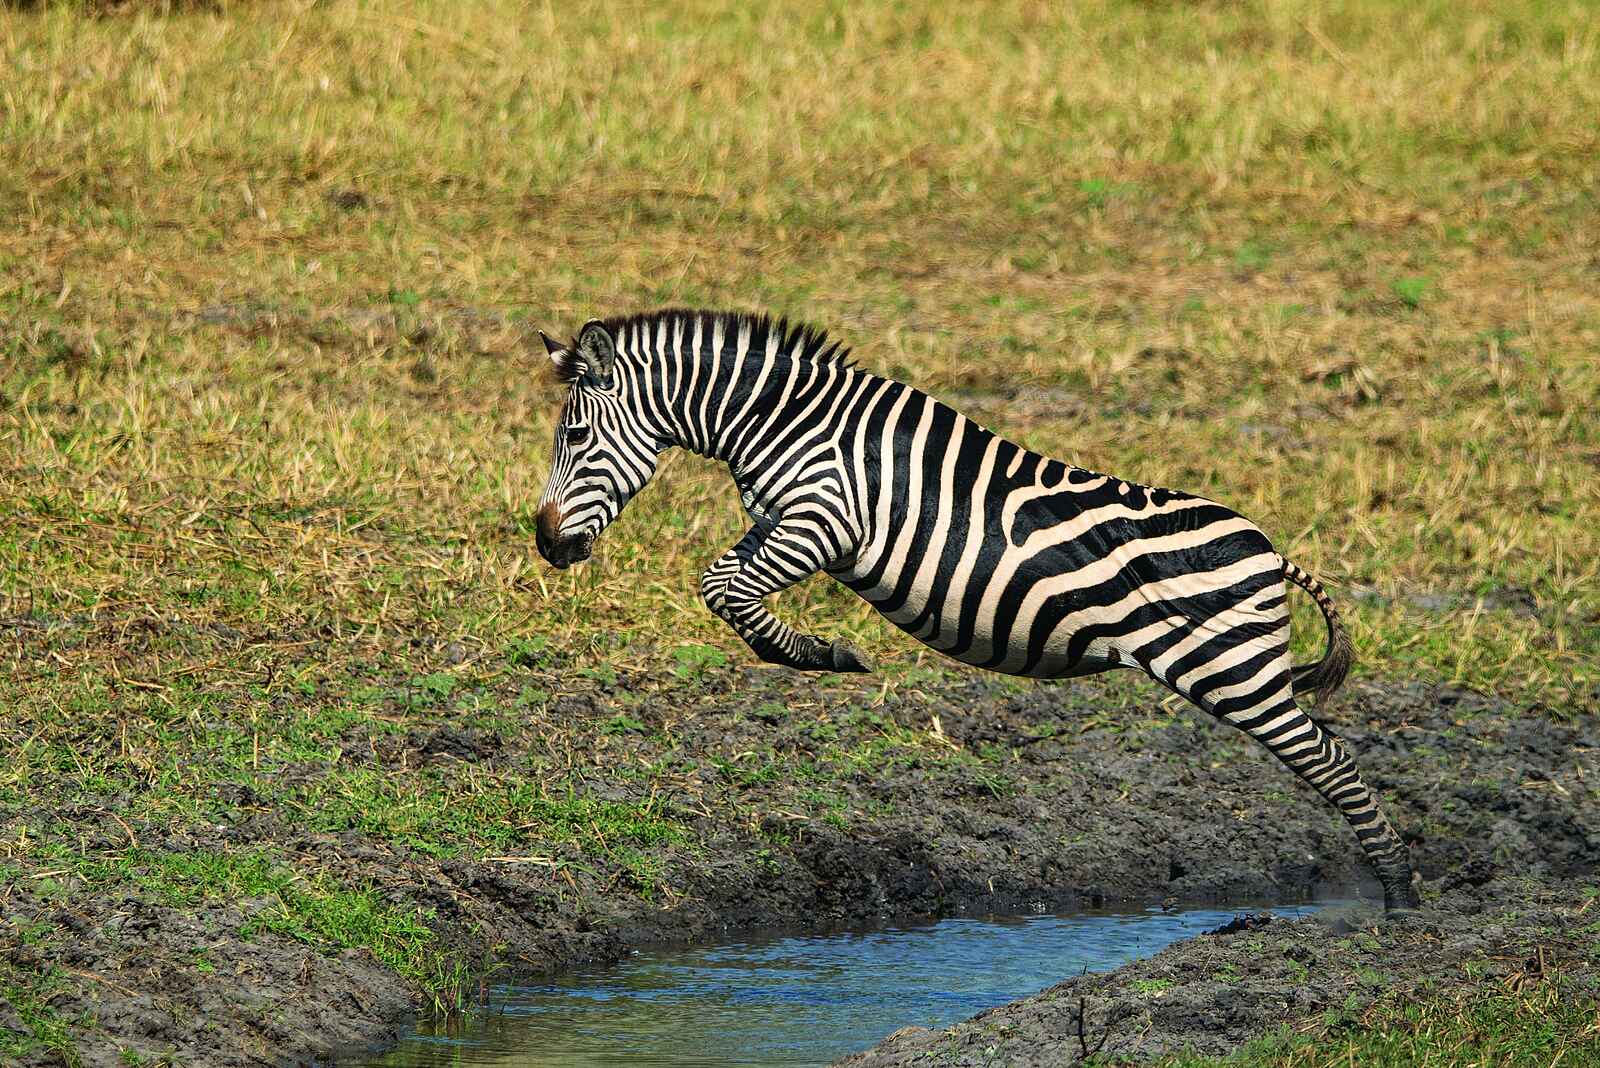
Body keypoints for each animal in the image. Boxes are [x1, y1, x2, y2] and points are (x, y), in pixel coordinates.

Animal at [532, 308, 1420, 912]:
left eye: (574, 437)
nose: (543, 544)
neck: (782, 422)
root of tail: (1271, 551)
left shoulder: (823, 519)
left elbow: (726, 590)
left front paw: (823, 654)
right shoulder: (778, 522)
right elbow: (723, 583)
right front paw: (814, 651)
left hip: (1235, 672)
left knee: (1333, 763)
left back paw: (1402, 897)